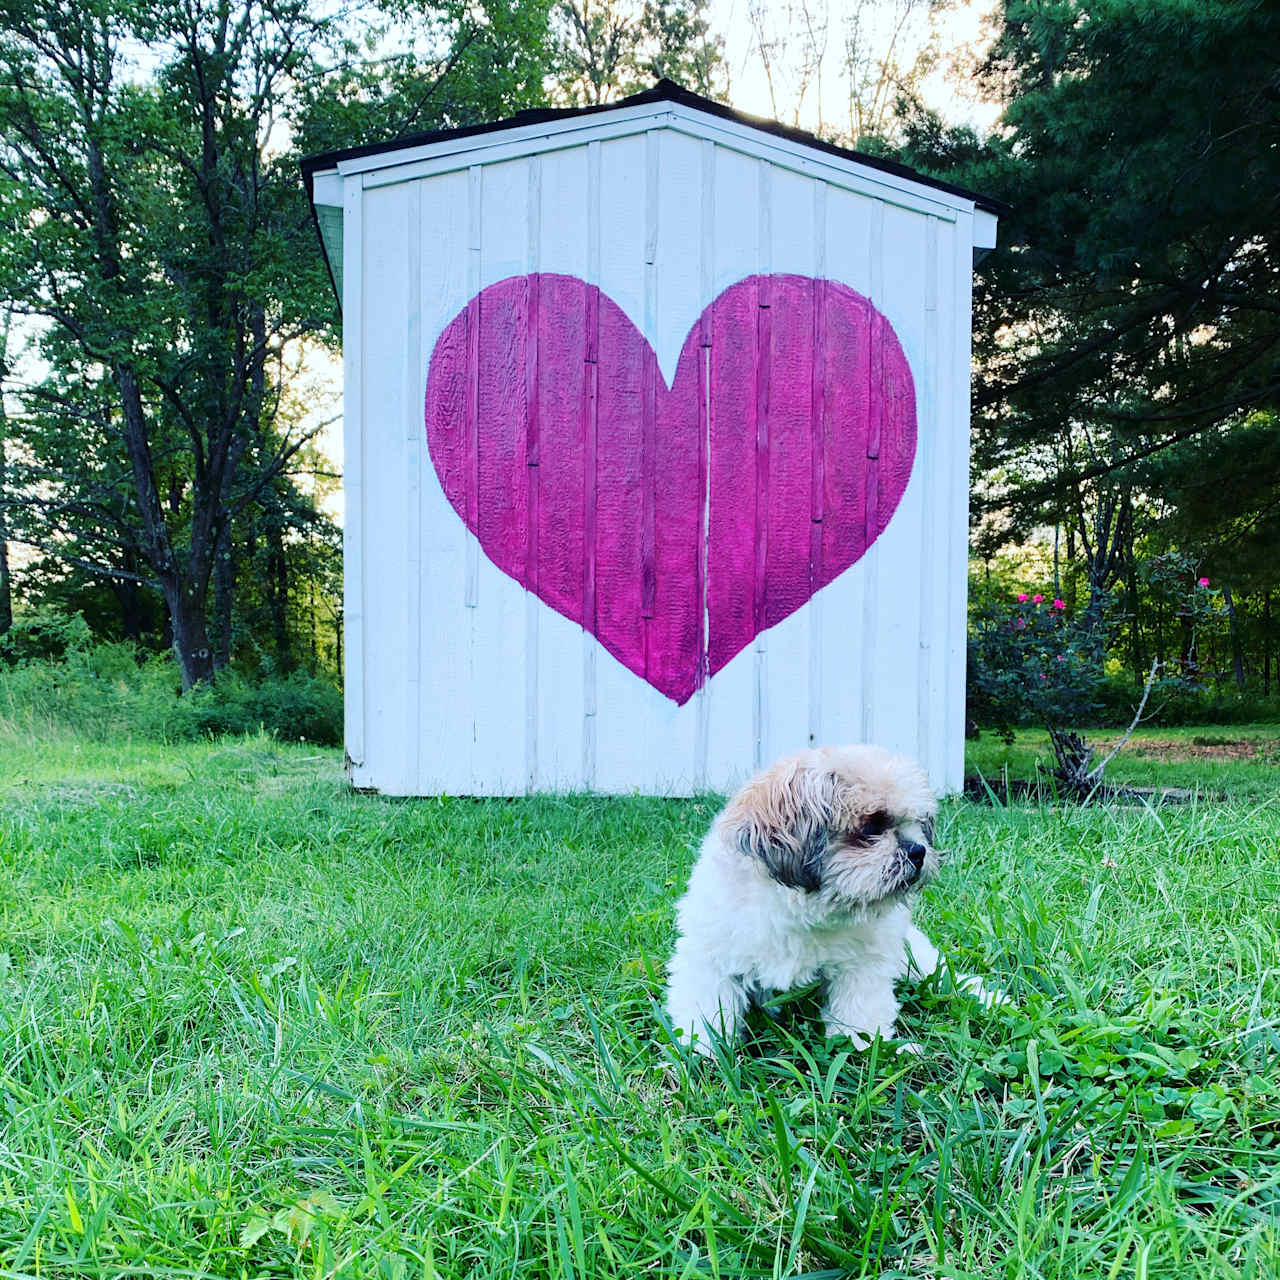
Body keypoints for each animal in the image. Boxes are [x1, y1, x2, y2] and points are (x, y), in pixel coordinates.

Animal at [665, 747, 972, 1054]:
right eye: (871, 827)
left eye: (918, 824)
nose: (918, 850)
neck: (803, 911)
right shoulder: (710, 956)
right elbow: (706, 1011)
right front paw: (703, 1051)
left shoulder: (862, 964)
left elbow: (861, 1015)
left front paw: (866, 1047)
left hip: (912, 957)